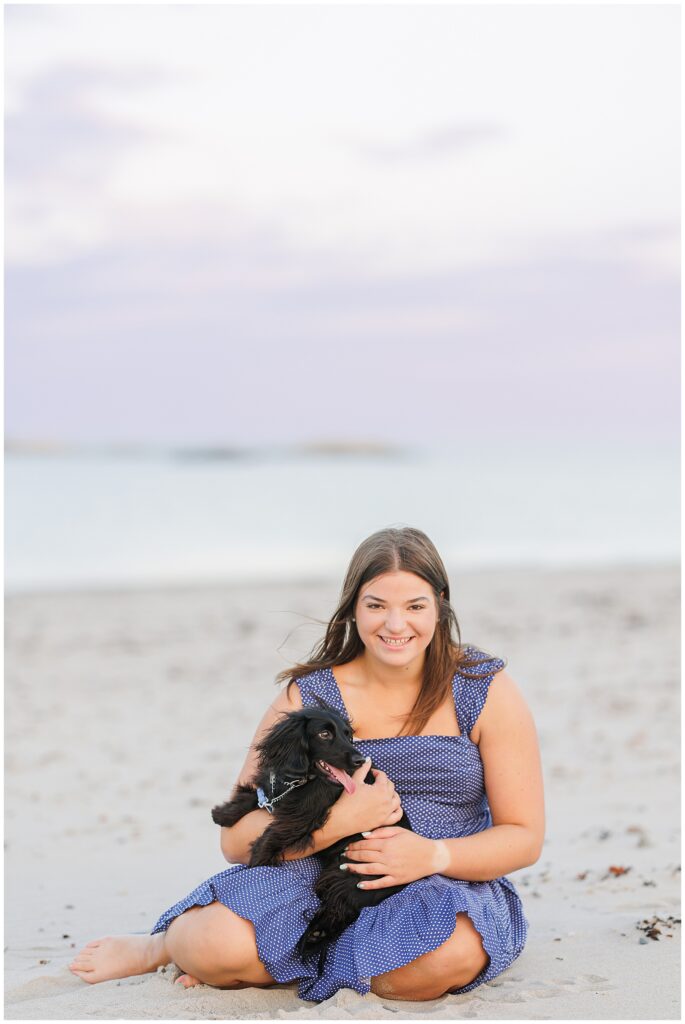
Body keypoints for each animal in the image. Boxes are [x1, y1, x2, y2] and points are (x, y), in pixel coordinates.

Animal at [210, 704, 409, 958]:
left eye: (348, 735)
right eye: (324, 734)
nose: (359, 760)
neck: (305, 779)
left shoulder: (301, 817)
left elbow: (272, 835)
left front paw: (257, 864)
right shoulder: (280, 795)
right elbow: (258, 797)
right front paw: (224, 813)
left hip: (349, 876)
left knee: (341, 908)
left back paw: (315, 935)